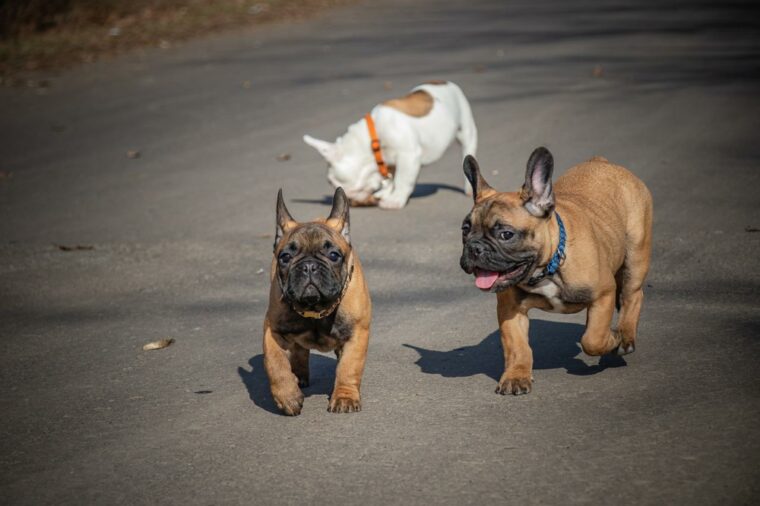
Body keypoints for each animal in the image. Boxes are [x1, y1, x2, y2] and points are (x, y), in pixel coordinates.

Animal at [264, 188, 372, 414]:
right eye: (285, 257)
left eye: (334, 255)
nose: (309, 266)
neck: (316, 309)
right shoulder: (273, 331)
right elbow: (275, 363)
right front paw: (287, 396)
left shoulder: (357, 334)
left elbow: (349, 366)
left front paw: (345, 397)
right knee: (298, 351)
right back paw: (299, 378)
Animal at [302, 79, 476, 210]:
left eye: (331, 182)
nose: (348, 199)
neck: (371, 142)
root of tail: (445, 82)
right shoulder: (390, 162)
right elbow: (392, 178)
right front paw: (385, 193)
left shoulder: (408, 155)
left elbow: (402, 179)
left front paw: (395, 200)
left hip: (466, 126)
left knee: (469, 149)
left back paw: (469, 187)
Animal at [460, 146, 652, 396]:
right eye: (465, 230)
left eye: (506, 234)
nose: (474, 247)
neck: (547, 269)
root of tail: (603, 163)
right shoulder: (511, 310)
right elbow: (517, 346)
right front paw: (516, 376)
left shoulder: (603, 294)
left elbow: (593, 338)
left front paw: (613, 339)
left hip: (635, 255)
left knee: (632, 295)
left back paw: (625, 336)